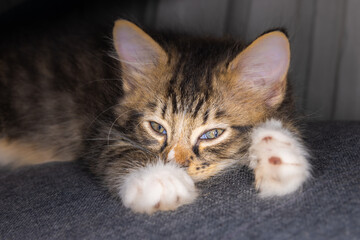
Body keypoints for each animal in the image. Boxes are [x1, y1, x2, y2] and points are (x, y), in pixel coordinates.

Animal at [0, 19, 310, 214]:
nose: (175, 165)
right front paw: (159, 179)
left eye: (212, 134)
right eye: (157, 128)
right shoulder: (100, 127)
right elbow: (118, 149)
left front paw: (277, 152)